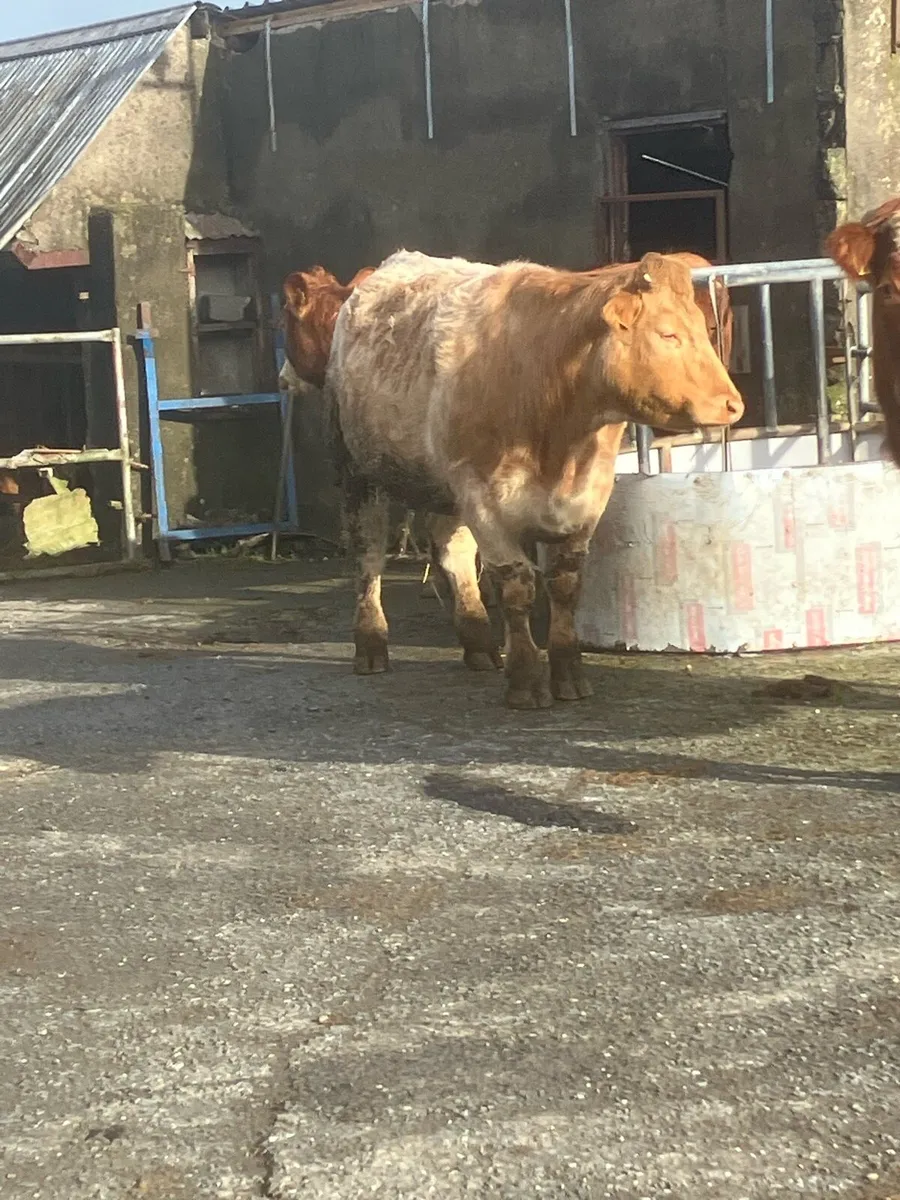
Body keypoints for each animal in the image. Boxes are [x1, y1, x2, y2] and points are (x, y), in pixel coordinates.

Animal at [325, 249, 744, 708]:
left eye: (704, 329)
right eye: (668, 334)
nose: (732, 404)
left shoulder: (587, 498)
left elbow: (564, 585)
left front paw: (568, 673)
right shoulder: (483, 499)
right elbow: (517, 587)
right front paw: (525, 679)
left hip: (446, 488)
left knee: (452, 551)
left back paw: (479, 643)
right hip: (357, 471)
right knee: (369, 555)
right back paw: (371, 644)